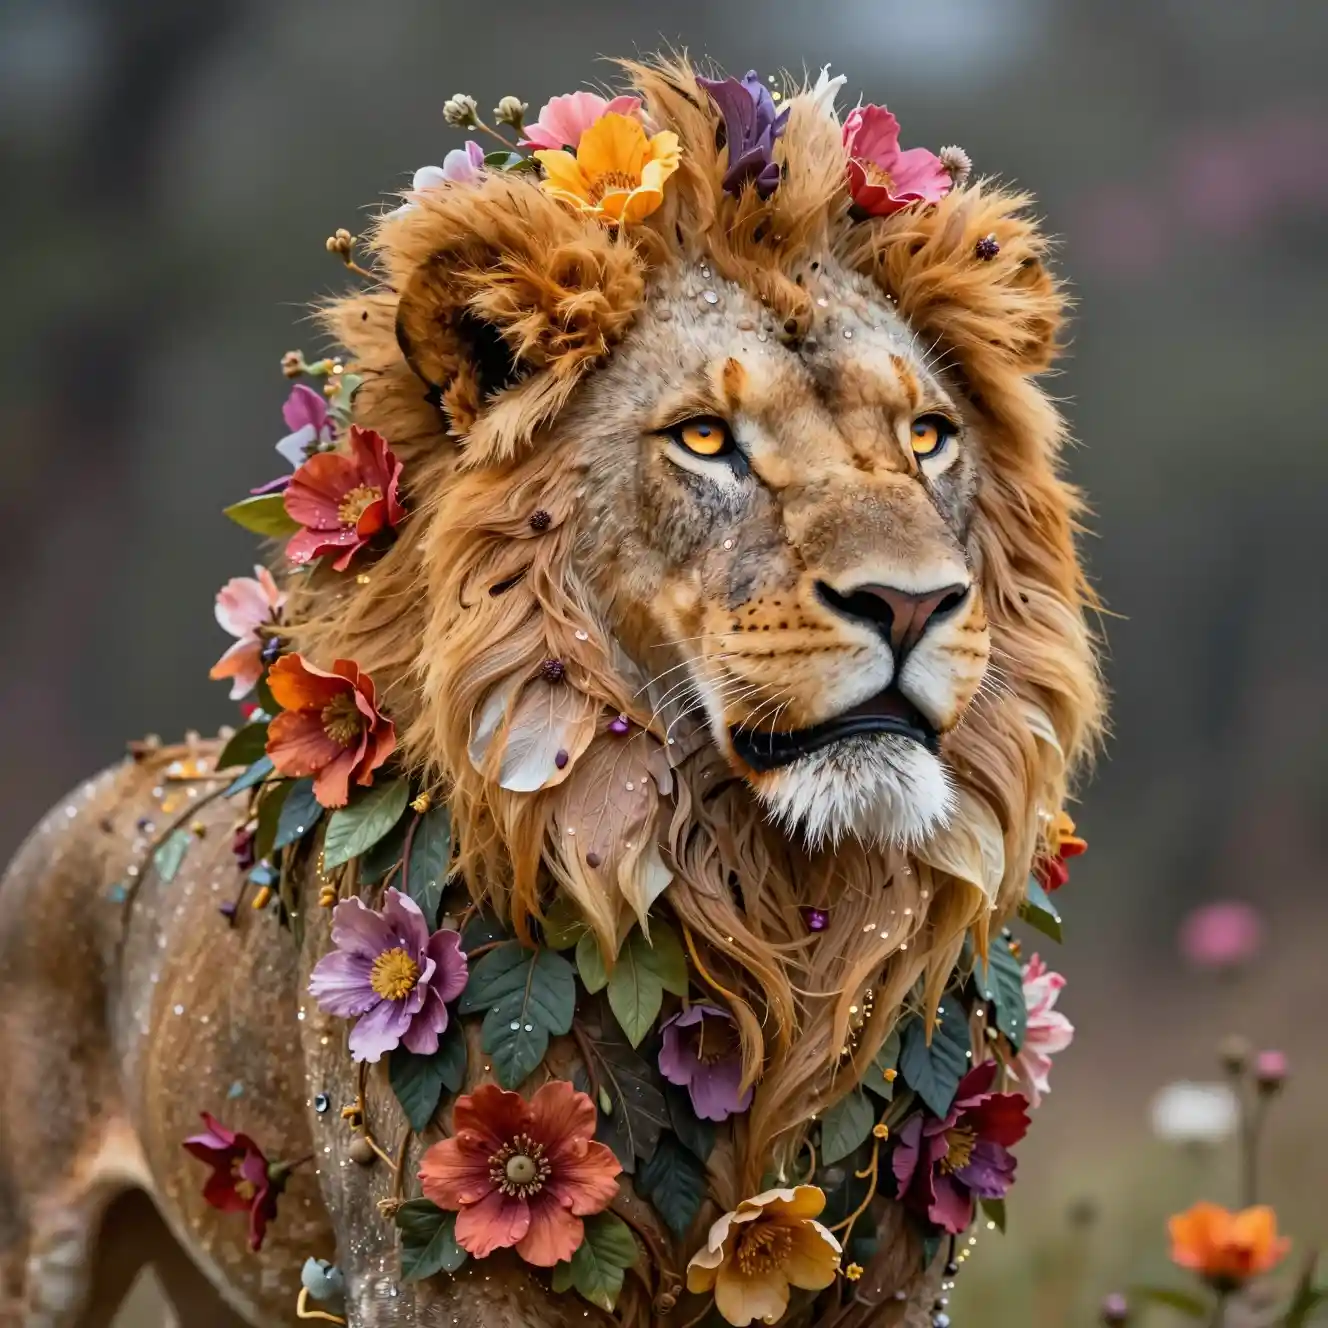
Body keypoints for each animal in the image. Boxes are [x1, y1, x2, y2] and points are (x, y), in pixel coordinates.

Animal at [0, 56, 1101, 1328]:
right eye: (705, 438)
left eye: (926, 435)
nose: (913, 602)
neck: (762, 901)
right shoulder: (440, 1271)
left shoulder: (901, 1279)